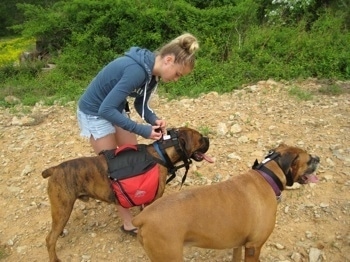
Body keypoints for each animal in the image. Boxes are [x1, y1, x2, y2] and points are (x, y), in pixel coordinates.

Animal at [41, 127, 211, 262]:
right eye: (200, 138)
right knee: (49, 239)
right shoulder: (152, 202)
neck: (162, 154)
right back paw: (54, 258)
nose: (208, 138)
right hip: (63, 209)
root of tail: (55, 169)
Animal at [133, 144, 320, 260]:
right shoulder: (253, 247)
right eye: (309, 159)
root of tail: (143, 216)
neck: (267, 175)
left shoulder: (239, 244)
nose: (318, 158)